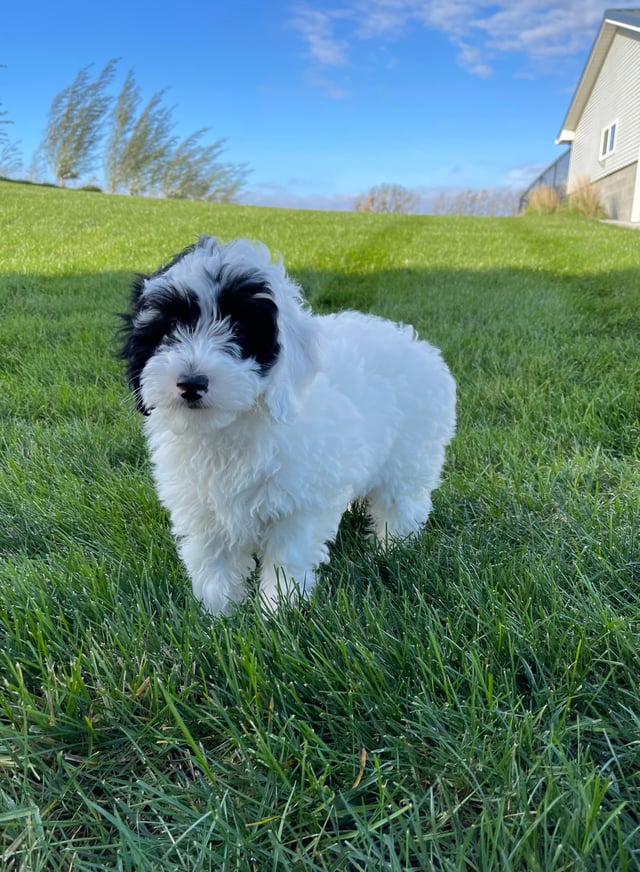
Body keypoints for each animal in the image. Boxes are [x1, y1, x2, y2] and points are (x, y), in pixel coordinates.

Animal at [120, 237, 456, 612]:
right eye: (170, 329)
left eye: (240, 330)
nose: (191, 383)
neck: (232, 426)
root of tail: (416, 344)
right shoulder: (202, 506)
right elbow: (213, 558)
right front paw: (218, 610)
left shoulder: (298, 505)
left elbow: (285, 556)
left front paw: (277, 609)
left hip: (412, 454)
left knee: (401, 502)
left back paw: (391, 547)